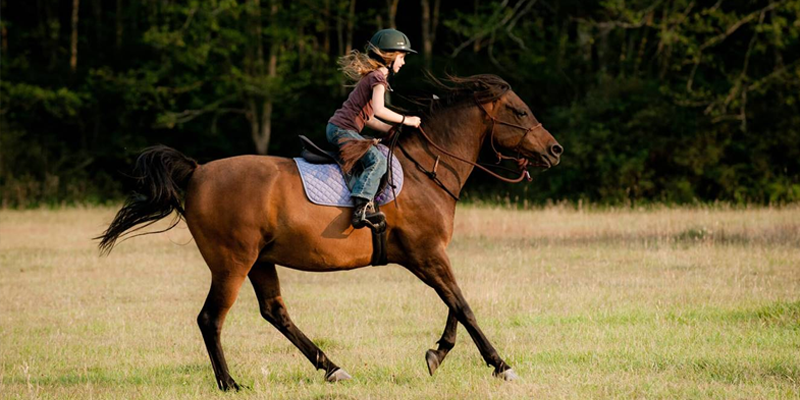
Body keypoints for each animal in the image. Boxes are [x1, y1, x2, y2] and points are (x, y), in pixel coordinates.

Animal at [98, 74, 564, 390]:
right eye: (520, 111)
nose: (555, 150)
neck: (426, 171)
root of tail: (195, 172)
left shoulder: (430, 255)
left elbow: (454, 304)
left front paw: (438, 353)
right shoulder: (426, 254)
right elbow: (463, 306)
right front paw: (501, 366)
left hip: (260, 261)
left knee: (275, 312)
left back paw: (332, 367)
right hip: (232, 262)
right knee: (211, 318)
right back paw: (230, 384)